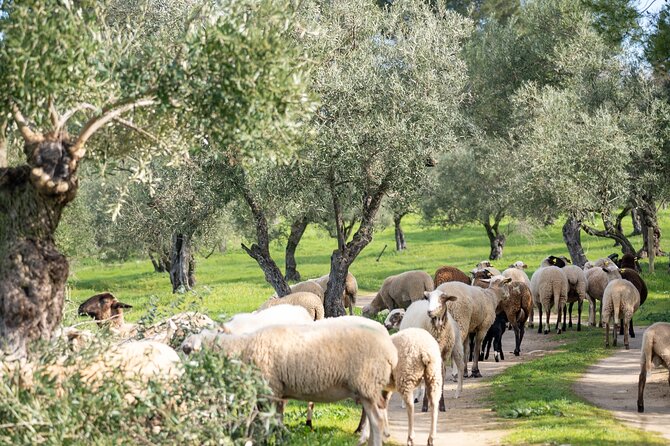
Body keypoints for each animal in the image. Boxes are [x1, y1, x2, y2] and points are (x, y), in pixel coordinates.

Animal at [181, 318, 396, 446]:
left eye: (187, 350)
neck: (242, 349)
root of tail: (390, 347)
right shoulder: (278, 392)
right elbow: (277, 420)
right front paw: (280, 439)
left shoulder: (269, 389)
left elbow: (267, 421)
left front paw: (266, 440)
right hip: (367, 388)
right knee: (374, 419)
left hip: (366, 382)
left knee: (377, 421)